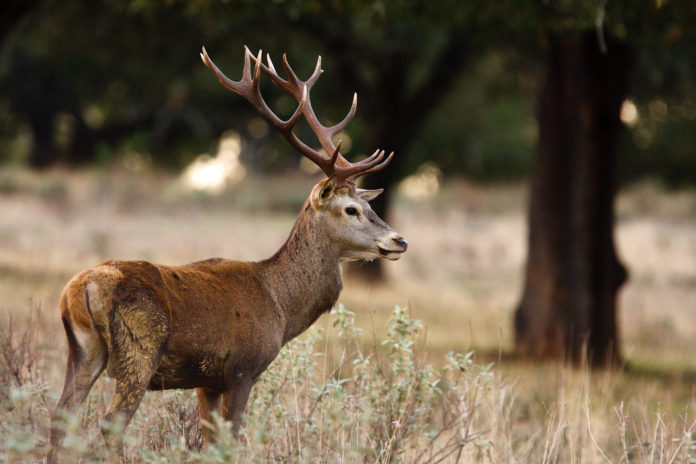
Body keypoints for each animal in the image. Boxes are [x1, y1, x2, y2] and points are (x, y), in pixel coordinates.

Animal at [47, 46, 408, 463]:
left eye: (369, 205)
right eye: (351, 209)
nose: (400, 241)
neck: (279, 304)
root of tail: (78, 290)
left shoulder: (208, 381)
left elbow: (208, 441)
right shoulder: (241, 367)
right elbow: (230, 440)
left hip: (83, 350)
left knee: (61, 417)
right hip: (139, 348)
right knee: (110, 424)